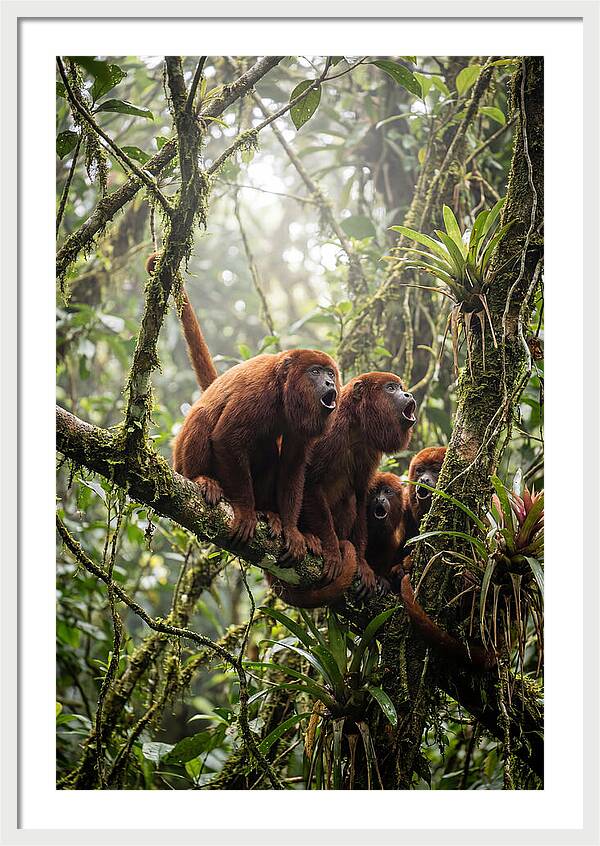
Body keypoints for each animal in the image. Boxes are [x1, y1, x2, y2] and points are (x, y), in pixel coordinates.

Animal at [147, 253, 341, 559]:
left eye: (330, 373)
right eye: (314, 372)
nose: (330, 383)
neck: (283, 391)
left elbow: (292, 465)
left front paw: (291, 529)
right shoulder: (257, 392)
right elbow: (226, 438)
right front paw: (247, 511)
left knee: (269, 451)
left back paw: (269, 514)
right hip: (181, 462)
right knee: (203, 418)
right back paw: (204, 480)